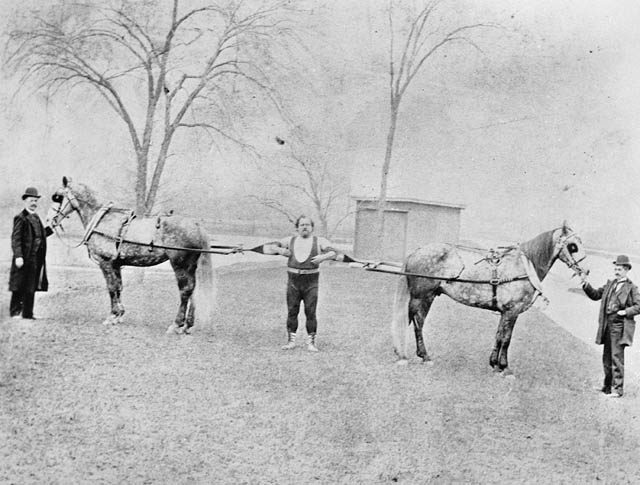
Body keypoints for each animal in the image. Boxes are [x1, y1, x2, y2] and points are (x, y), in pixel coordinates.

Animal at [50, 177, 215, 332]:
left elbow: (111, 287)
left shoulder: (105, 262)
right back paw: (187, 325)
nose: (50, 220)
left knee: (185, 291)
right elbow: (118, 287)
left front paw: (112, 316)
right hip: (190, 266)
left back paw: (176, 324)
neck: (102, 220)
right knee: (192, 290)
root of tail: (196, 225)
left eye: (58, 197)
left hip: (180, 264)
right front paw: (119, 315)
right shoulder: (115, 264)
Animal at [388, 223, 588, 374]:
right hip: (422, 296)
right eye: (573, 246)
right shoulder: (512, 311)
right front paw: (505, 368)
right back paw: (420, 355)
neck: (524, 267)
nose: (586, 271)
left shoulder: (505, 312)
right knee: (417, 322)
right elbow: (506, 338)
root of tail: (416, 252)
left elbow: (499, 336)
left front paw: (494, 364)